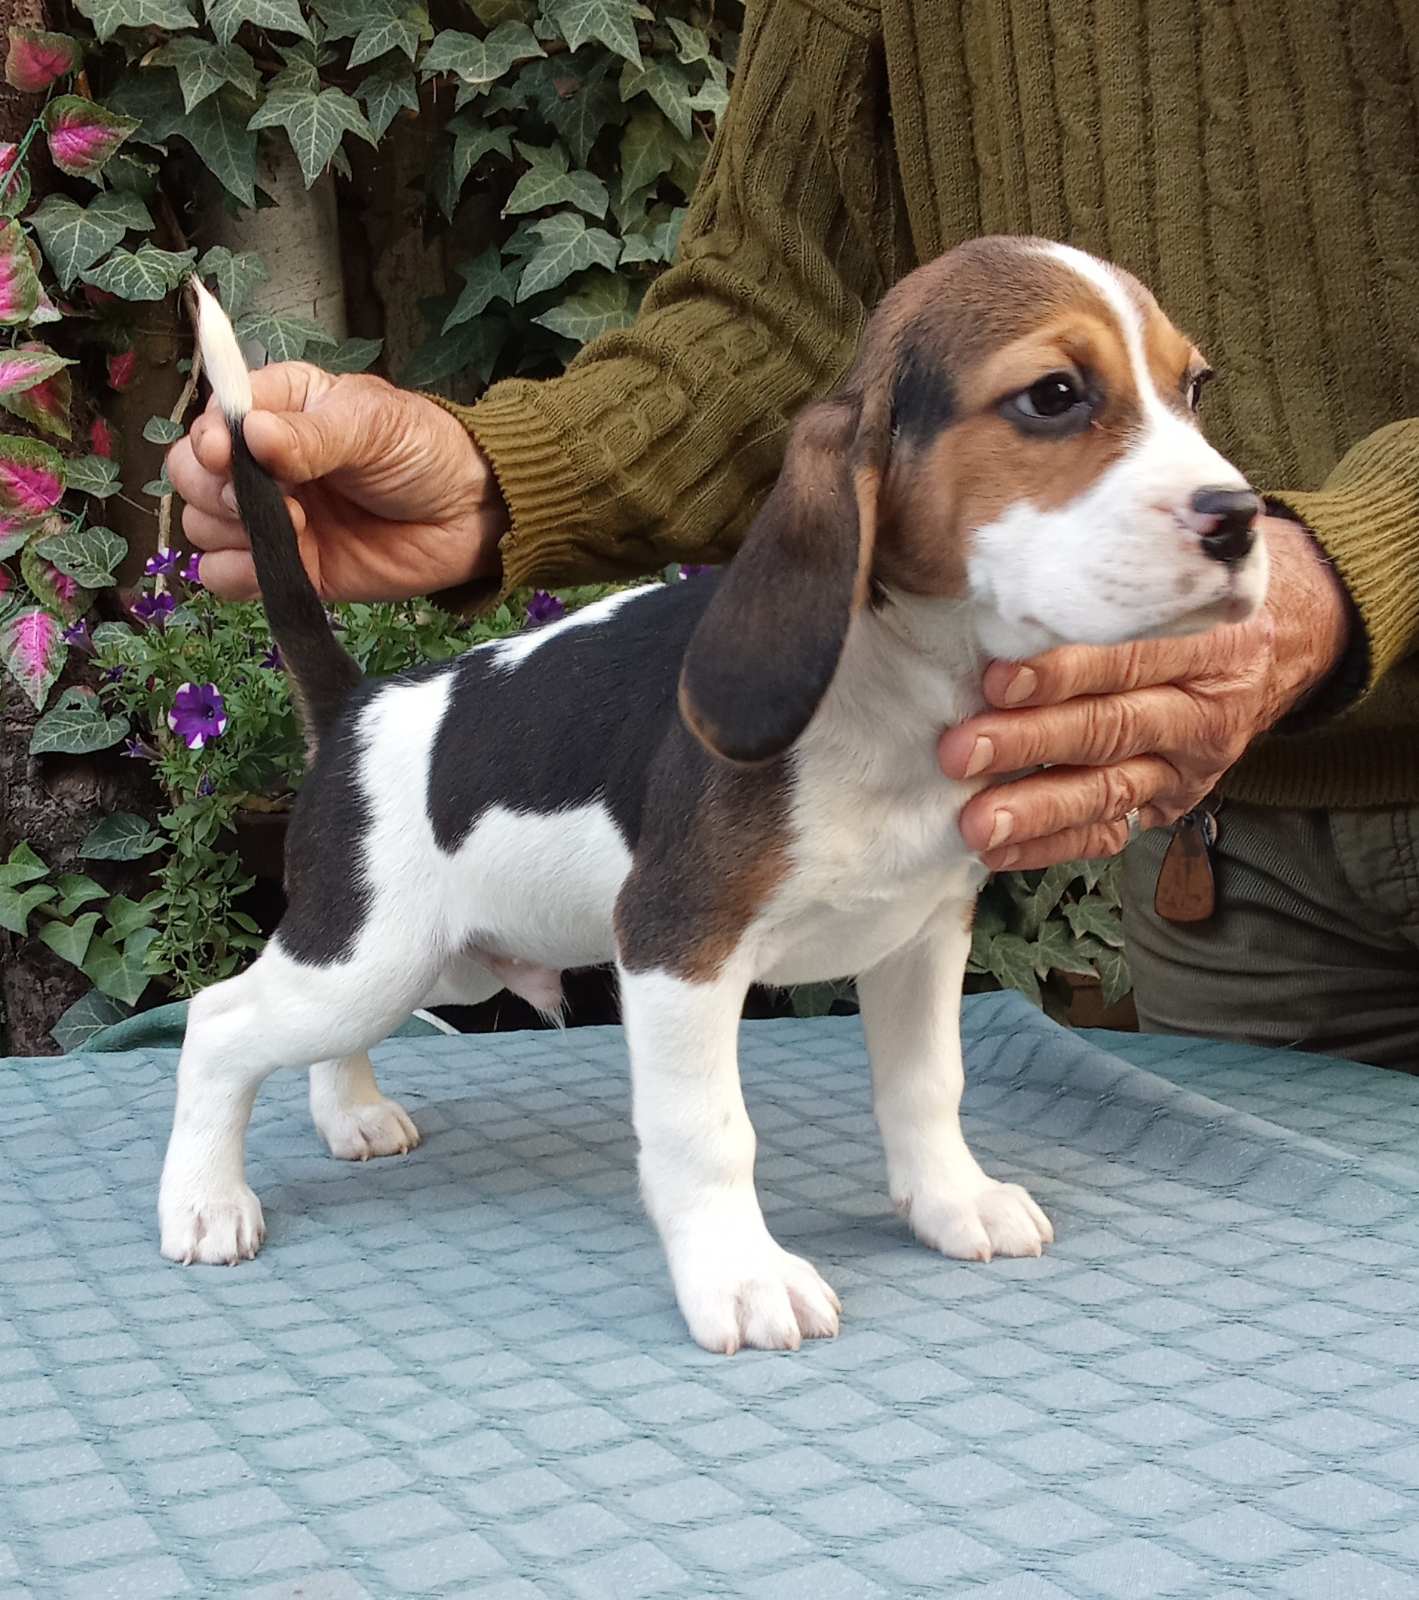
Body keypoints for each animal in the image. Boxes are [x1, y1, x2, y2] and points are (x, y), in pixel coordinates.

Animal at [163, 243, 1267, 1356]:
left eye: (1194, 388)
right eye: (1052, 396)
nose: (1241, 520)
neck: (894, 690)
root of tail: (358, 705)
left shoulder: (920, 938)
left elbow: (927, 1086)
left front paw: (953, 1202)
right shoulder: (677, 948)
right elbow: (708, 1133)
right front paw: (741, 1277)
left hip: (440, 965)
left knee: (316, 1036)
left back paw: (348, 1112)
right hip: (369, 955)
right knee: (217, 1023)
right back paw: (206, 1201)